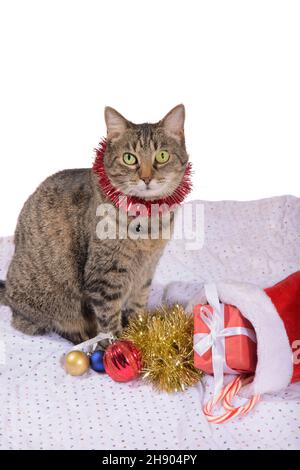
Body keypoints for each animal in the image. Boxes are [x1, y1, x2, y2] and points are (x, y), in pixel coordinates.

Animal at [0, 104, 189, 344]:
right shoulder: (105, 277)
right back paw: (77, 334)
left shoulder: (146, 271)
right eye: (129, 158)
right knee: (33, 322)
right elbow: (109, 321)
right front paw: (120, 345)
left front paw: (142, 334)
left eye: (162, 156)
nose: (146, 178)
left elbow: (138, 308)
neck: (148, 220)